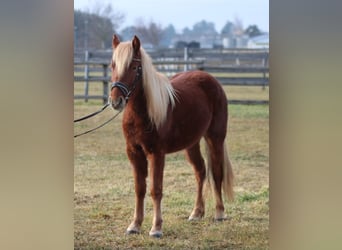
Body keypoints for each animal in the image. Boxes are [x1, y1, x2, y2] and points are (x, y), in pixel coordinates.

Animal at [109, 34, 232, 236]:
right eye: (113, 65)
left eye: (134, 67)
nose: (115, 101)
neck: (144, 113)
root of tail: (211, 80)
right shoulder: (134, 153)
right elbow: (139, 189)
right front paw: (135, 225)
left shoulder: (156, 153)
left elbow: (155, 189)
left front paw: (156, 228)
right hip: (191, 144)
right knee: (200, 171)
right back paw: (196, 213)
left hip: (215, 138)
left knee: (216, 172)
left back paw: (220, 213)